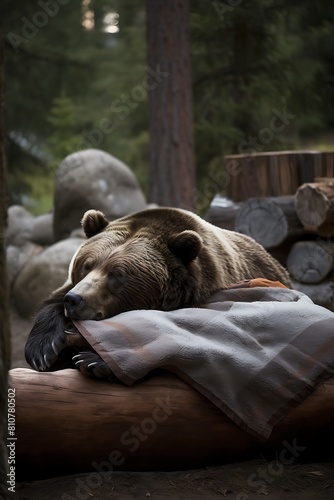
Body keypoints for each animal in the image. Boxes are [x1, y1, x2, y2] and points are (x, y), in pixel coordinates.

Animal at [24, 206, 290, 376]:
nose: (75, 300)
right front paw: (43, 349)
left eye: (117, 274)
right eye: (86, 265)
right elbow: (52, 304)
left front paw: (92, 360)